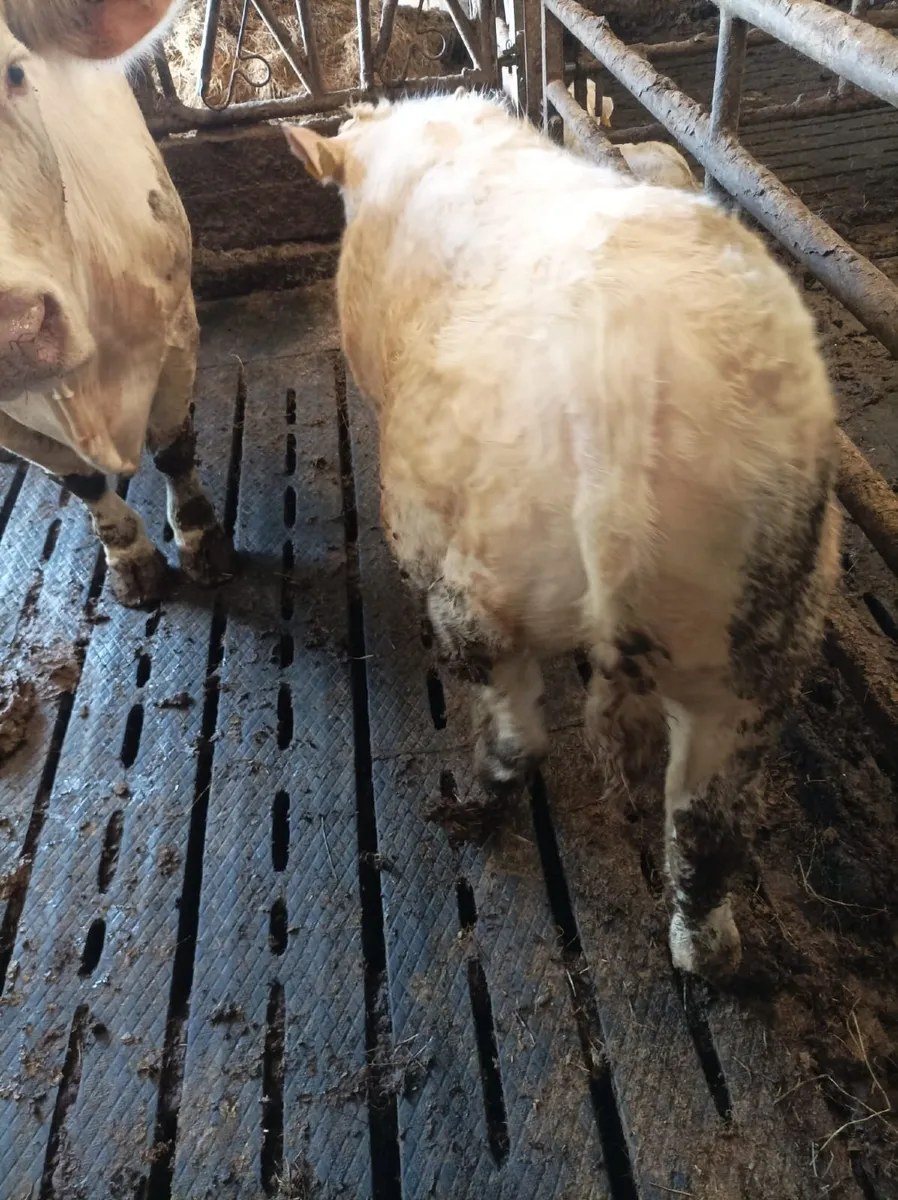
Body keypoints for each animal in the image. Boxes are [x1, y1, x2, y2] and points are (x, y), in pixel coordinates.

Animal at [0, 0, 231, 607]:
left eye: (15, 73)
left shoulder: (177, 323)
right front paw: (130, 558)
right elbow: (79, 481)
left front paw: (201, 541)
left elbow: (172, 448)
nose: (14, 330)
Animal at [282, 92, 840, 980]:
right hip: (767, 628)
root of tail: (629, 389)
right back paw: (708, 957)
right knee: (704, 826)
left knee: (517, 726)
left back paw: (469, 810)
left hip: (490, 568)